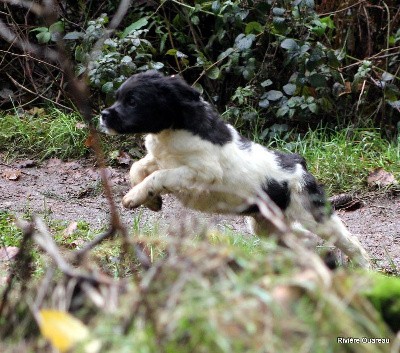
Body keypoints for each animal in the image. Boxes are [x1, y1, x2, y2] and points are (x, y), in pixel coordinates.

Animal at [101, 71, 370, 266]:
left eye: (133, 101)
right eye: (118, 97)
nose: (103, 114)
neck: (172, 131)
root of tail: (298, 163)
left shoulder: (201, 173)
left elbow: (159, 175)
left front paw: (134, 197)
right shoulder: (158, 158)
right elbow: (137, 168)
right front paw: (151, 201)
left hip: (312, 214)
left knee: (349, 241)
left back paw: (363, 271)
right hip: (267, 226)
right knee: (305, 240)